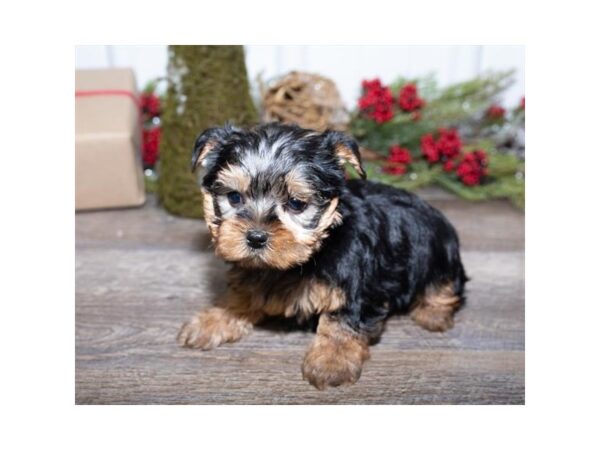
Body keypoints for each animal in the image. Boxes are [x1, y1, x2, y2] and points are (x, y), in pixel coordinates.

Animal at [178, 123, 468, 390]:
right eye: (234, 197)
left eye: (296, 204)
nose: (256, 237)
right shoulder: (255, 271)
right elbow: (243, 293)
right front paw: (214, 319)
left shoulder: (359, 285)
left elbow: (342, 320)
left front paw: (331, 362)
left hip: (438, 251)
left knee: (446, 284)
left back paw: (433, 313)